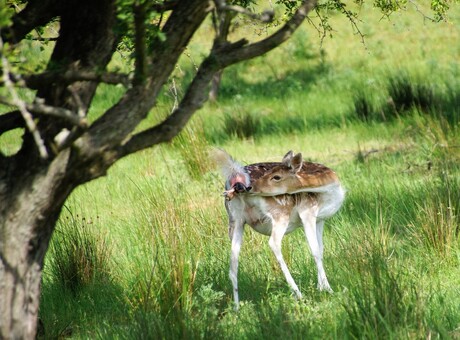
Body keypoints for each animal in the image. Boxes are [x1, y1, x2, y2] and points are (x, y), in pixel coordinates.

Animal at [216, 149, 344, 308]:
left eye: (276, 176)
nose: (251, 187)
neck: (331, 191)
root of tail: (236, 180)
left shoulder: (320, 219)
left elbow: (320, 250)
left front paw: (320, 287)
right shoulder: (308, 210)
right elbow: (314, 251)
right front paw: (328, 289)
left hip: (236, 220)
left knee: (233, 264)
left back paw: (237, 308)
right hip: (280, 213)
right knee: (274, 243)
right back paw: (298, 294)